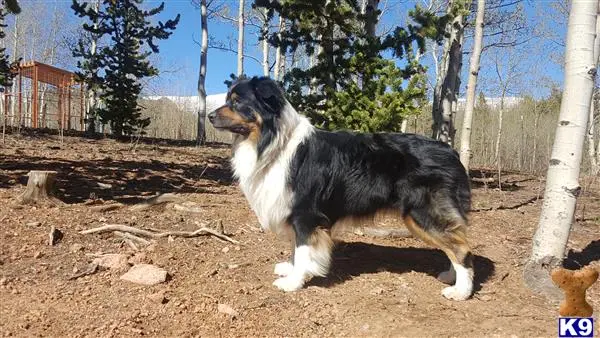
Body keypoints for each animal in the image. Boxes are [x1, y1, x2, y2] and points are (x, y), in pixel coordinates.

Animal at [209, 76, 476, 298]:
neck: (273, 141)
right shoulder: (296, 214)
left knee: (461, 247)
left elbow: (303, 249)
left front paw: (294, 282)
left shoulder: (306, 214)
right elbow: (296, 247)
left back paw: (460, 291)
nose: (210, 116)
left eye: (237, 102)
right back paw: (451, 276)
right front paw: (291, 269)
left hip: (422, 213)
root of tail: (451, 152)